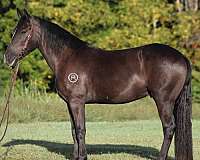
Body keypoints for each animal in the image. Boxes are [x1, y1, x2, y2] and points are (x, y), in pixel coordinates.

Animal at [3, 9, 193, 160]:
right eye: (13, 31)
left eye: (24, 31)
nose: (7, 58)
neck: (67, 57)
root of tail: (182, 57)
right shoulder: (69, 103)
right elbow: (73, 131)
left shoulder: (77, 102)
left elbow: (80, 130)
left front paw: (82, 157)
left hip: (164, 101)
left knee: (169, 128)